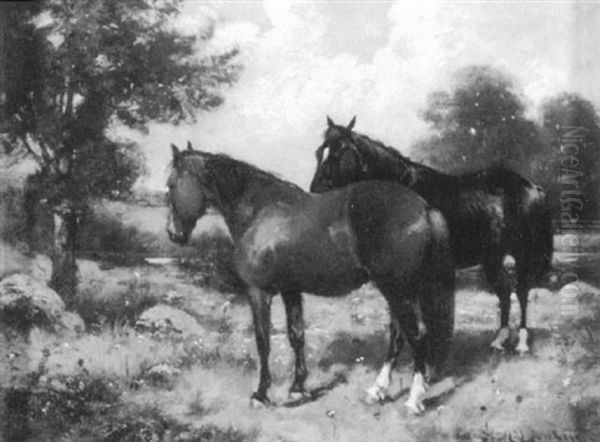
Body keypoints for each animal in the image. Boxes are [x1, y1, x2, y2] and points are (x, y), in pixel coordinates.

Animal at [166, 142, 452, 414]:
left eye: (171, 185)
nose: (173, 234)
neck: (260, 210)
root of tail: (424, 207)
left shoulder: (258, 291)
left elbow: (262, 341)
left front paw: (261, 394)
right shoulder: (290, 290)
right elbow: (296, 335)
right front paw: (298, 388)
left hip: (399, 289)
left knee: (417, 335)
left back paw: (413, 401)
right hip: (398, 290)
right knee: (397, 334)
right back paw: (376, 391)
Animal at [312, 115, 552, 354]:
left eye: (340, 151)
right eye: (320, 151)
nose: (316, 190)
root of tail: (532, 187)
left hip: (522, 253)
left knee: (521, 291)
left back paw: (522, 342)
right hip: (492, 257)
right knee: (504, 291)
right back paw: (499, 340)